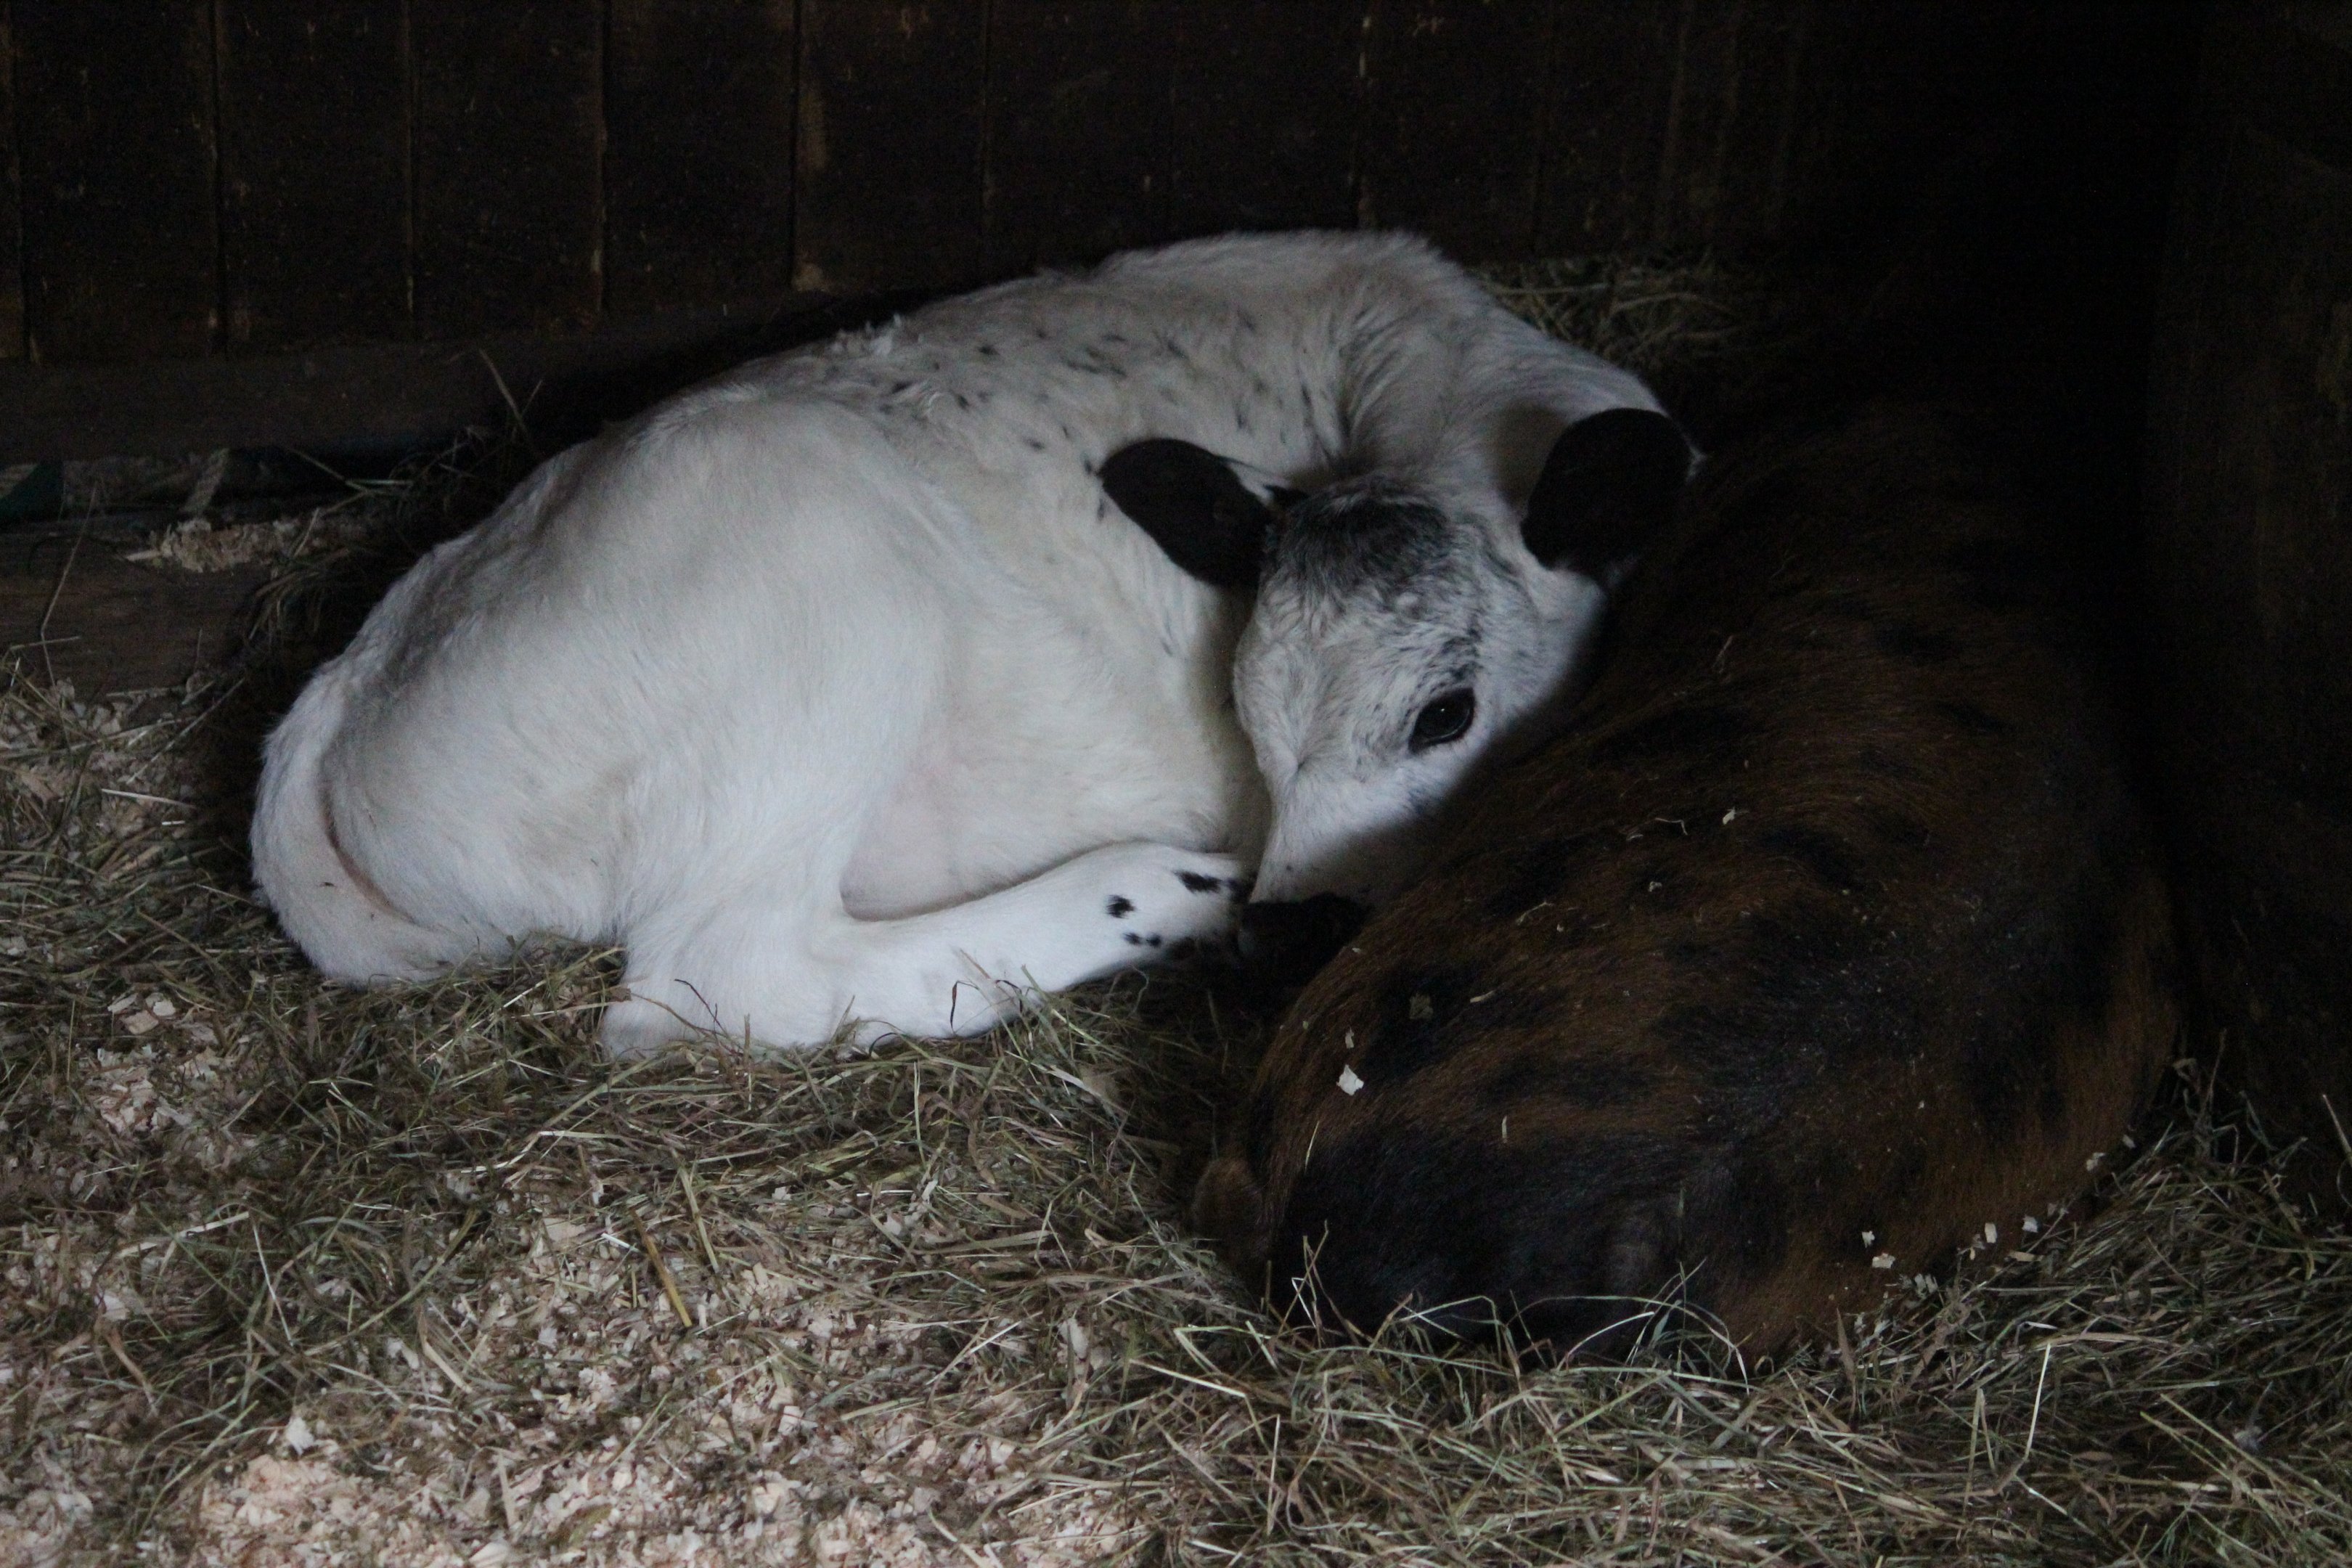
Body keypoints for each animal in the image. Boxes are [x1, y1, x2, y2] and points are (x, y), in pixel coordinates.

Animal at [249, 231, 1687, 1057]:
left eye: (1447, 713)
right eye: (1250, 714)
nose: (1291, 933)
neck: (1448, 379)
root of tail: (353, 681)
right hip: (818, 592)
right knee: (725, 969)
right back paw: (1163, 892)